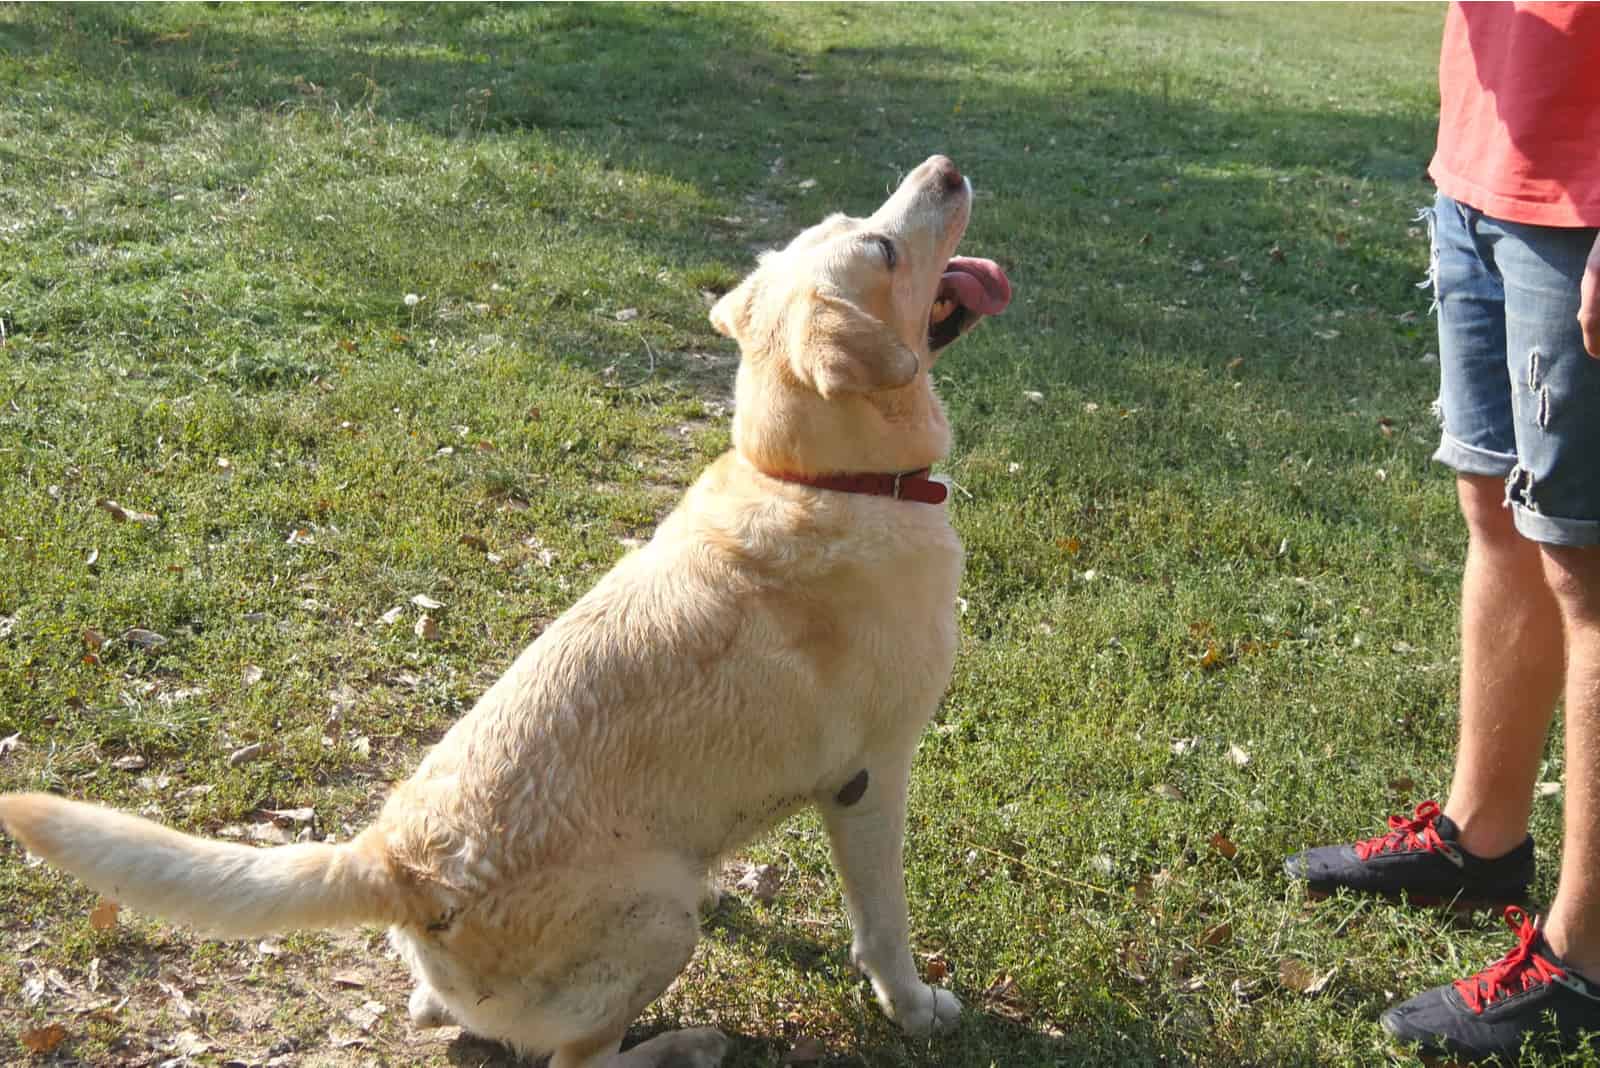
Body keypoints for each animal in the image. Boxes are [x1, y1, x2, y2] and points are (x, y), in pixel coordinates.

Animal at [0, 154, 1011, 1061]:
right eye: (883, 247)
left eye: (860, 224)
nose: (947, 167)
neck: (819, 477)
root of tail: (399, 862)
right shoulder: (871, 779)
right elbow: (884, 927)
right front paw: (914, 1009)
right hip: (659, 925)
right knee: (575, 1060)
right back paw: (684, 1045)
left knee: (453, 1017)